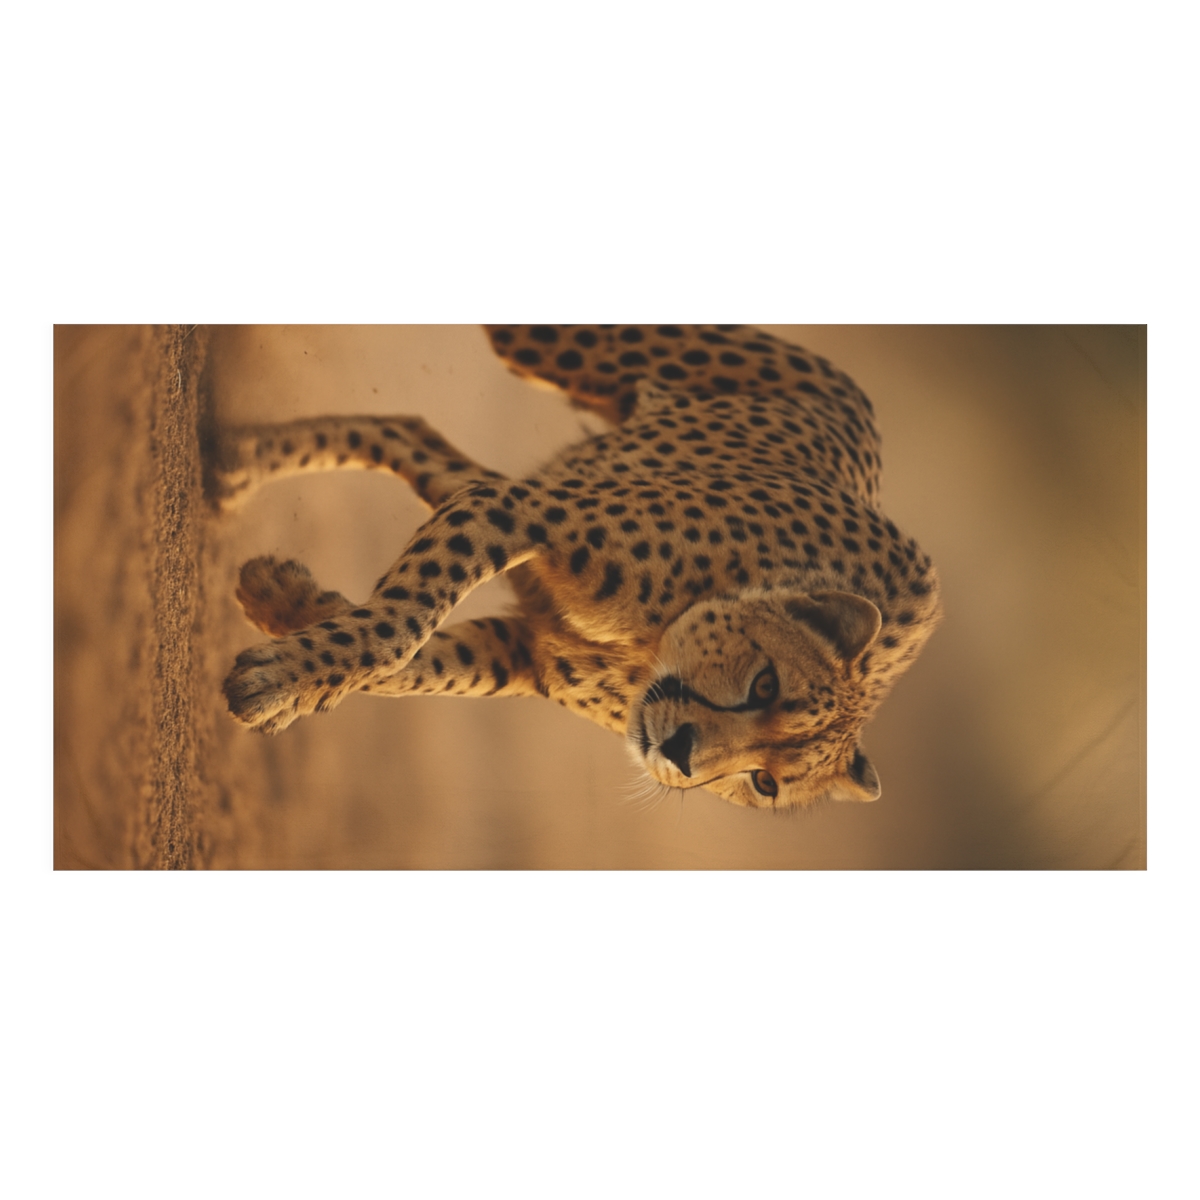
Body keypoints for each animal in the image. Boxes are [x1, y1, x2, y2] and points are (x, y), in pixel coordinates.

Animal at [216, 325, 942, 810]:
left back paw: (242, 472)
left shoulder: (516, 646)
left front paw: (292, 652)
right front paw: (283, 680)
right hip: (548, 344)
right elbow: (399, 630)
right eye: (765, 685)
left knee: (408, 432)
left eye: (765, 782)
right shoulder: (516, 510)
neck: (649, 651)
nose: (680, 754)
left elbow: (416, 663)